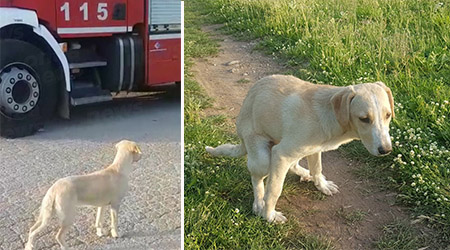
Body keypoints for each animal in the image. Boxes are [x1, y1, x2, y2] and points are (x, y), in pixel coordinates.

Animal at [207, 74, 394, 223]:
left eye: (388, 115)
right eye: (364, 119)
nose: (386, 150)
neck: (328, 114)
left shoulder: (314, 149)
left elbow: (317, 168)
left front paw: (321, 184)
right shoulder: (281, 154)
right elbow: (273, 191)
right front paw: (269, 216)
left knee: (294, 165)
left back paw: (305, 174)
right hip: (262, 158)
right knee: (257, 179)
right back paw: (259, 203)